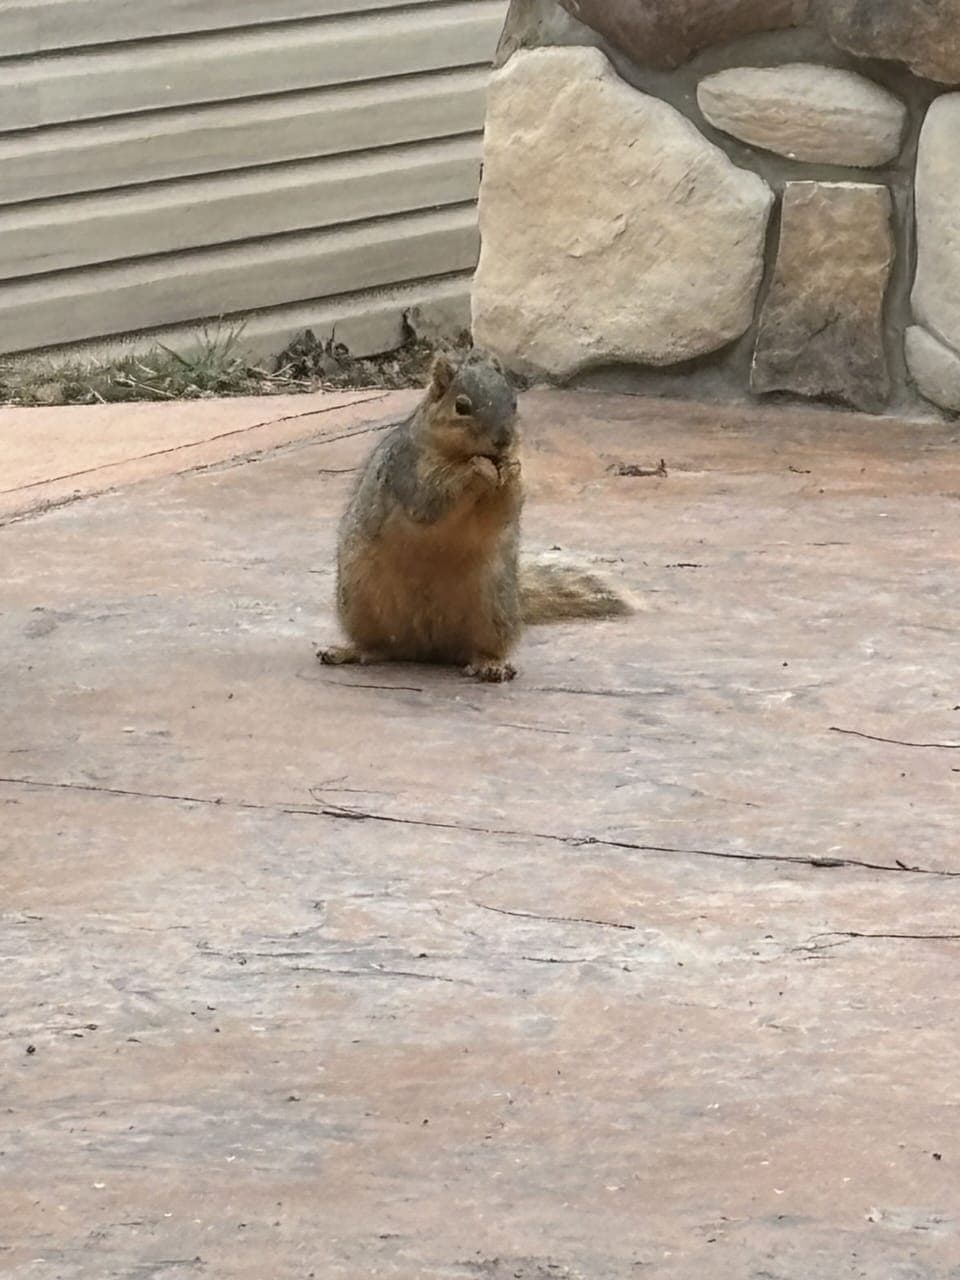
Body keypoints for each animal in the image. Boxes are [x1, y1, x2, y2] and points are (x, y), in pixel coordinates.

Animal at [317, 347, 632, 683]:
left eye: (514, 403)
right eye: (461, 406)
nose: (503, 440)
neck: (460, 455)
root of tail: (425, 650)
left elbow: (504, 510)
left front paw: (511, 471)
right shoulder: (408, 473)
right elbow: (432, 500)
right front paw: (476, 470)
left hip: (493, 608)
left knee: (474, 650)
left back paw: (489, 665)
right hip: (360, 602)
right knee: (378, 648)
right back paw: (347, 651)